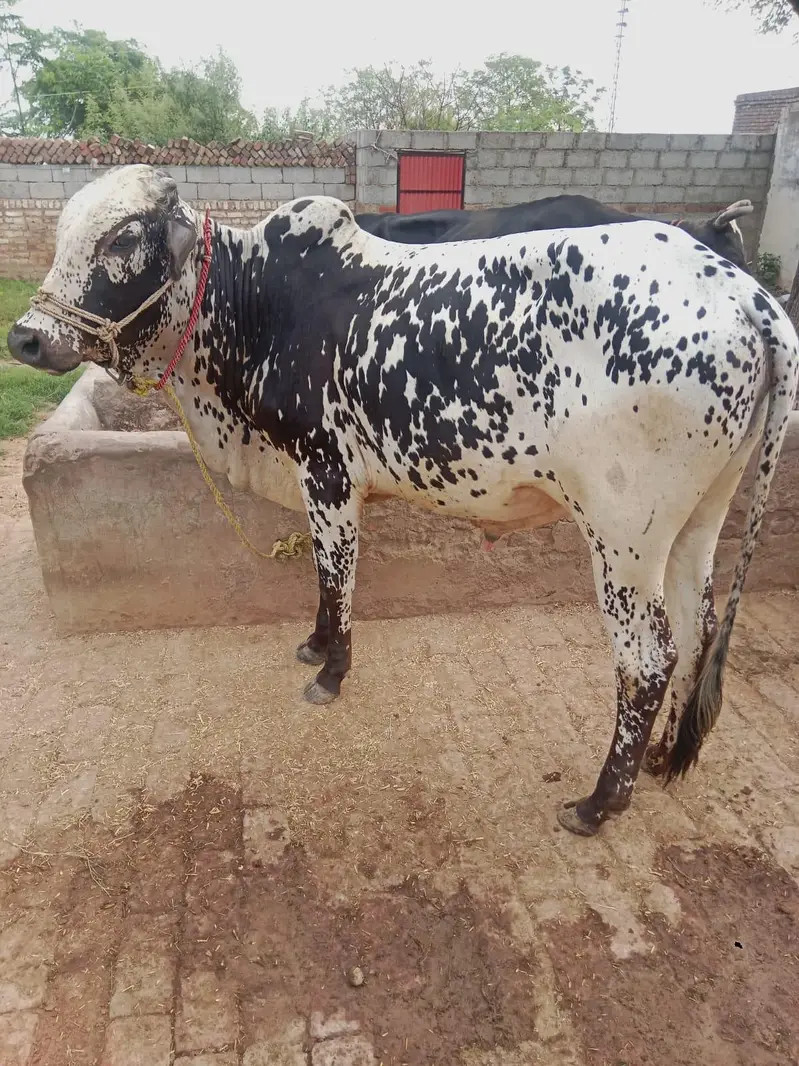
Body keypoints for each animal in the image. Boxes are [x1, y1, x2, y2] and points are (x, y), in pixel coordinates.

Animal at [8, 165, 798, 838]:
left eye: (122, 238)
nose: (25, 337)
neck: (259, 302)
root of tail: (745, 293)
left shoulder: (326, 470)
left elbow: (337, 575)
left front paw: (330, 671)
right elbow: (324, 576)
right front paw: (314, 644)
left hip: (623, 539)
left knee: (648, 658)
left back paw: (598, 802)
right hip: (698, 520)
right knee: (698, 626)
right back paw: (664, 758)